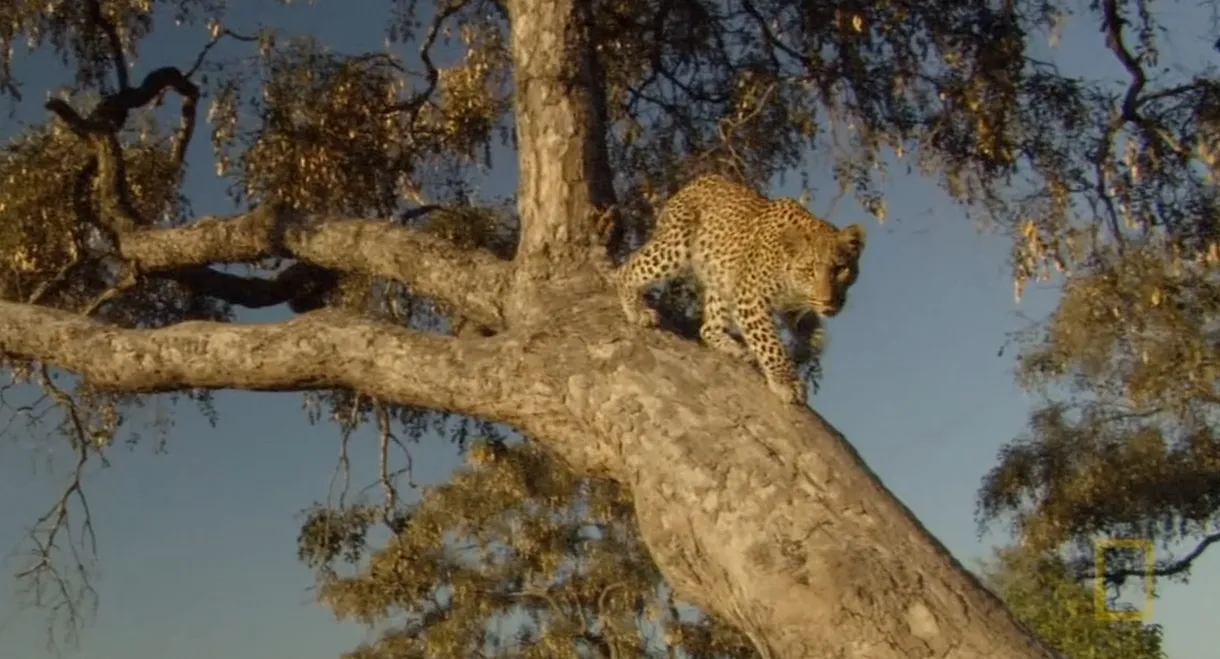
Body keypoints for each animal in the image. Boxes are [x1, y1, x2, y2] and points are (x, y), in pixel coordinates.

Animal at [613, 174, 867, 405]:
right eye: (809, 271)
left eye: (840, 269)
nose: (828, 302)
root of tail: (698, 181)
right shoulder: (750, 299)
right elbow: (770, 344)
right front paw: (787, 382)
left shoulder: (791, 302)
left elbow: (810, 331)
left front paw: (808, 346)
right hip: (675, 247)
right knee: (630, 268)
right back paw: (637, 310)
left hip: (721, 280)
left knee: (707, 328)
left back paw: (732, 346)